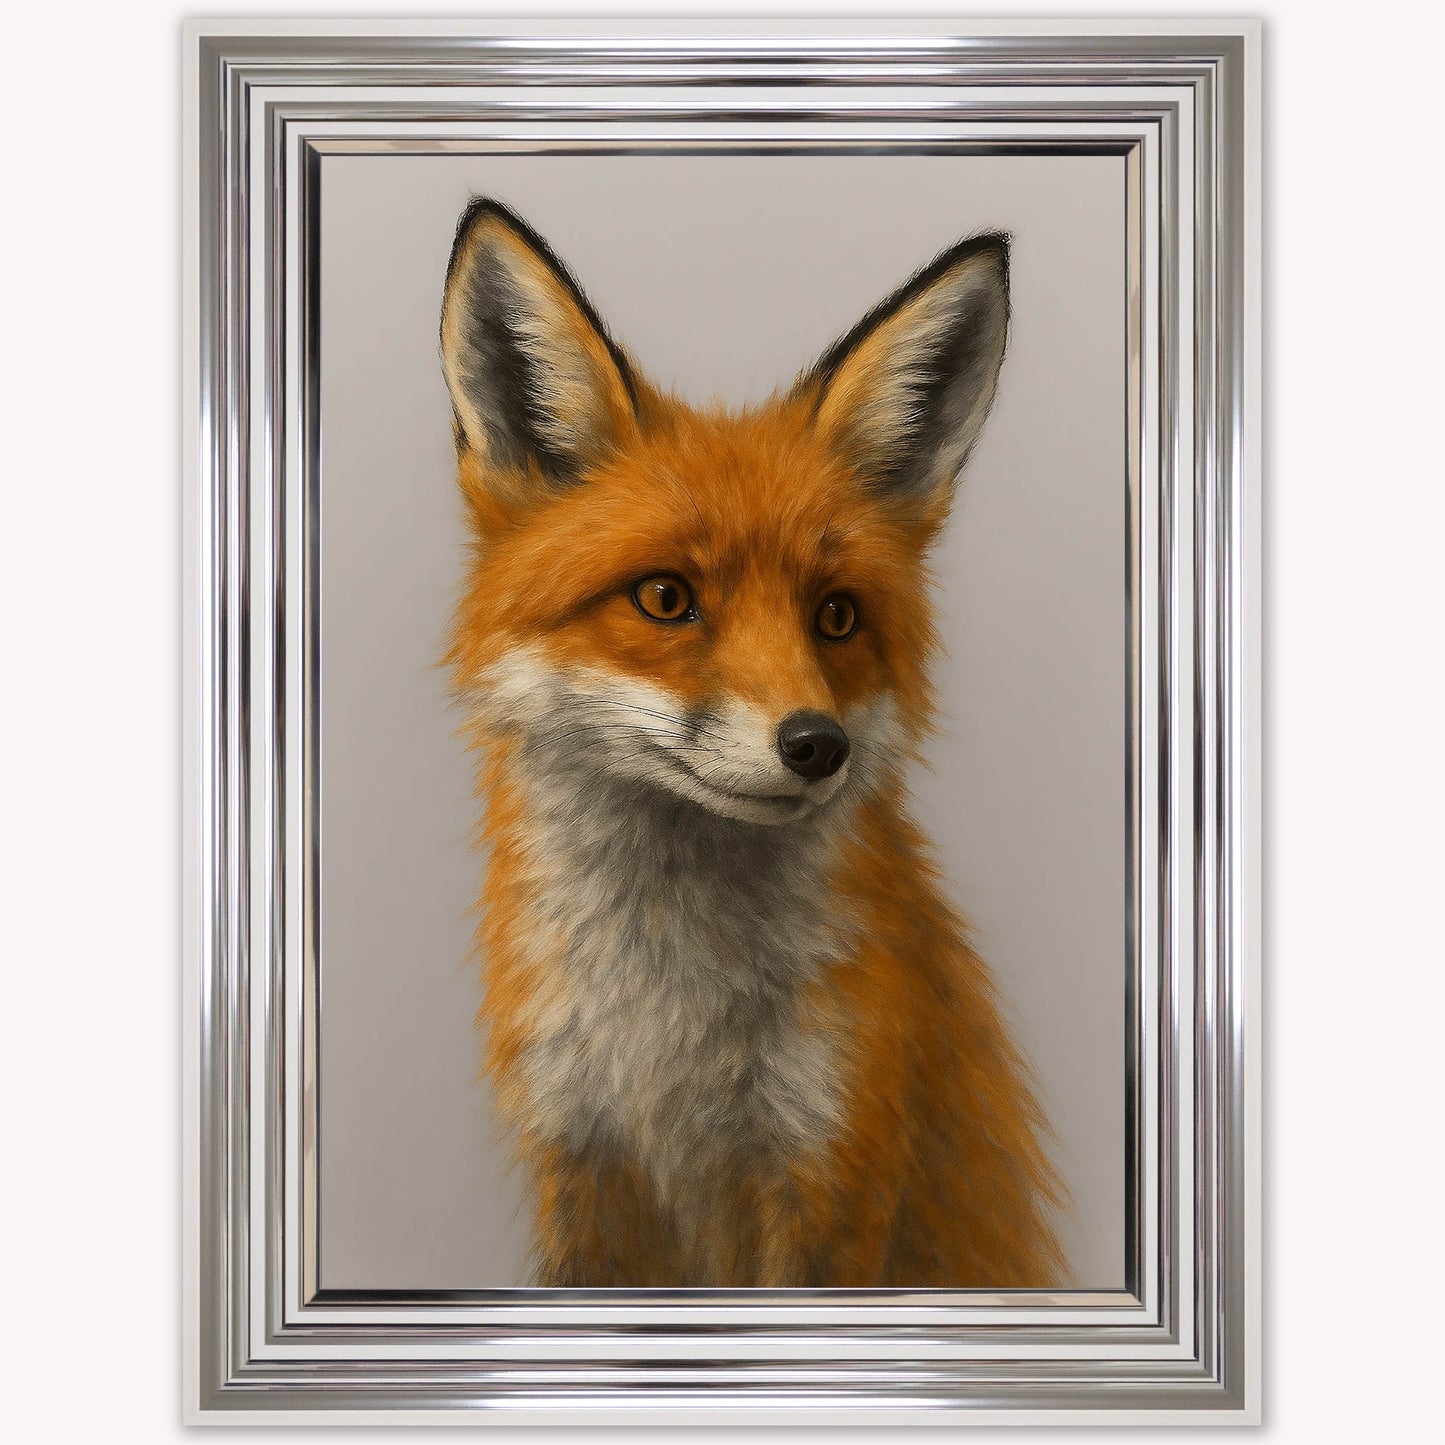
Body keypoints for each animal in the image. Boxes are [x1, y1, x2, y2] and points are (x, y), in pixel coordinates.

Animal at [438, 198, 1065, 1288]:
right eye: (664, 598)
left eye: (835, 616)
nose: (817, 745)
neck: (666, 1029)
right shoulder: (583, 1163)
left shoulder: (831, 1166)